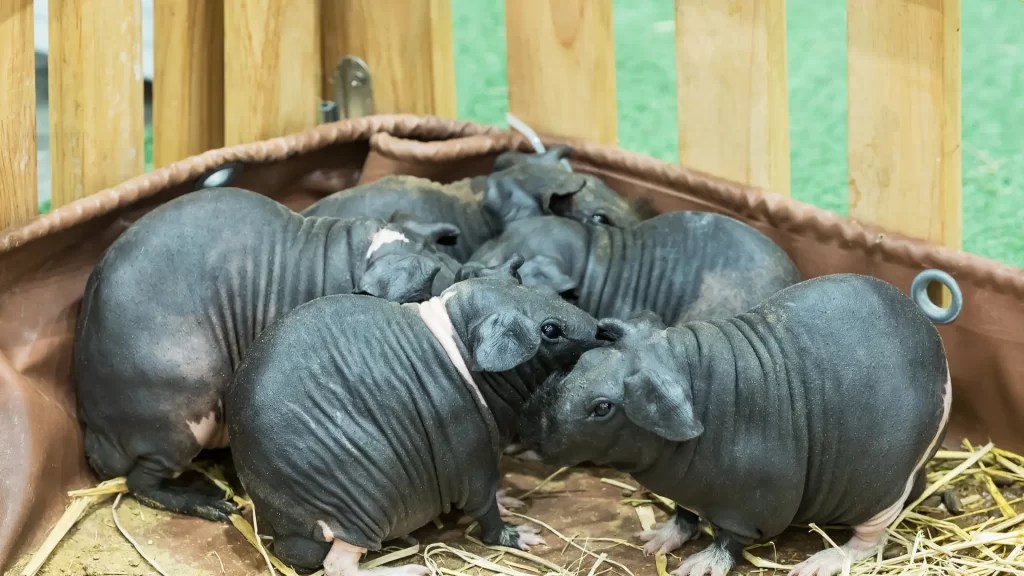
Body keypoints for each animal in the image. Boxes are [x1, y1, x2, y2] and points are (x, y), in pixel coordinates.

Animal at [227, 261, 604, 576]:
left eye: (530, 285)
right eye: (550, 330)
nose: (601, 329)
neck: (459, 344)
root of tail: (289, 530)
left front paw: (509, 500)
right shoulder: (473, 459)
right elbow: (487, 511)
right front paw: (517, 534)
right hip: (370, 500)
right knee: (338, 566)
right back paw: (408, 569)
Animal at [519, 272, 958, 576]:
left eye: (603, 407)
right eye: (583, 362)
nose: (531, 428)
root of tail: (926, 325)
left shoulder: (749, 509)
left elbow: (728, 543)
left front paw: (695, 567)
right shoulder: (686, 494)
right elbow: (684, 517)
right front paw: (653, 542)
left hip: (881, 495)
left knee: (870, 541)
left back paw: (819, 563)